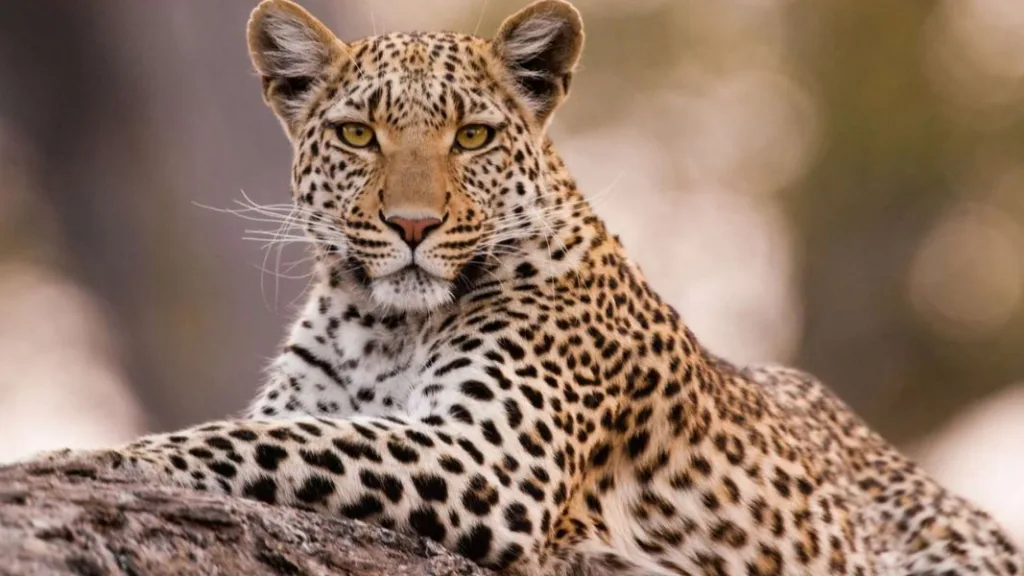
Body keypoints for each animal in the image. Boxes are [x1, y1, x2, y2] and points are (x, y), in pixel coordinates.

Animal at [22, 0, 1023, 574]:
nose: (412, 227)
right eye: (356, 136)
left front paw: (83, 459)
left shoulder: (493, 459)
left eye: (471, 137)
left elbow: (266, 441)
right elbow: (282, 426)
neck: (380, 325)